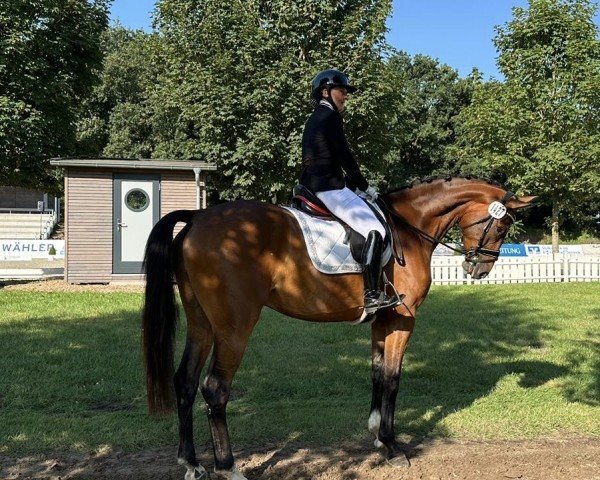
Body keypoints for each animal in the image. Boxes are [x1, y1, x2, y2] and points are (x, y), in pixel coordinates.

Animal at [142, 176, 536, 480]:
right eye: (502, 226)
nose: (479, 269)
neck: (410, 228)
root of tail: (197, 218)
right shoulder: (402, 319)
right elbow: (393, 378)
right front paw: (392, 446)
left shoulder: (382, 321)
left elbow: (377, 373)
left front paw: (376, 435)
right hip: (234, 328)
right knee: (215, 389)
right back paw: (228, 466)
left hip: (202, 324)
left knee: (186, 381)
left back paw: (192, 464)